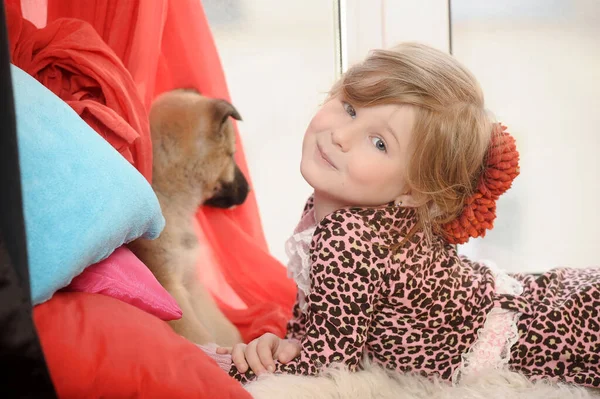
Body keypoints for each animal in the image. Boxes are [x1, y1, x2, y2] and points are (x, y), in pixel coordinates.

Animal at [131, 89, 248, 348]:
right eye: (231, 155)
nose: (248, 192)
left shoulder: (193, 284)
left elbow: (222, 330)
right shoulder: (171, 288)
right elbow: (200, 337)